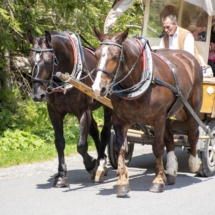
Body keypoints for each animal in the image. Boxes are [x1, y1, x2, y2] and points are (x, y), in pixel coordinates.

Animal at [26, 30, 112, 188]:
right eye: (30, 60)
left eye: (48, 61)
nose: (37, 95)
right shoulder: (54, 112)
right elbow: (59, 143)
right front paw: (61, 175)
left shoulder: (83, 111)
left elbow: (81, 146)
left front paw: (92, 164)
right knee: (94, 130)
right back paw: (101, 160)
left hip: (109, 107)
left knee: (105, 132)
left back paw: (101, 163)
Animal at [92, 27, 203, 197]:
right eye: (96, 55)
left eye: (115, 56)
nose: (98, 89)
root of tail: (189, 58)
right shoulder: (119, 120)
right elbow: (120, 147)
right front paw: (122, 182)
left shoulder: (158, 119)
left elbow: (157, 147)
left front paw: (157, 181)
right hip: (168, 115)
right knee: (170, 138)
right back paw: (171, 171)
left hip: (192, 109)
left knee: (193, 134)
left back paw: (194, 163)